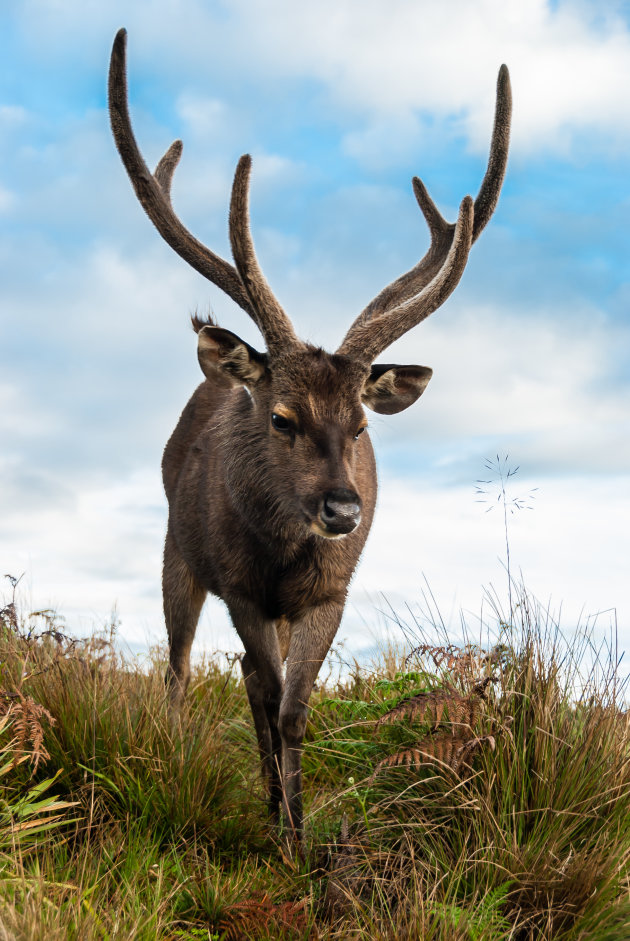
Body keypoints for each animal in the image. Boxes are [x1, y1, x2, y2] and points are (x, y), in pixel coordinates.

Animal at [108, 29, 512, 840]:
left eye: (358, 425)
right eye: (282, 417)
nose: (343, 509)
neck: (283, 553)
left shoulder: (330, 592)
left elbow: (294, 710)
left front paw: (297, 829)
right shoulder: (239, 585)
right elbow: (264, 695)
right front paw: (279, 827)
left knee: (242, 676)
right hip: (176, 551)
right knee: (180, 666)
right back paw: (174, 750)